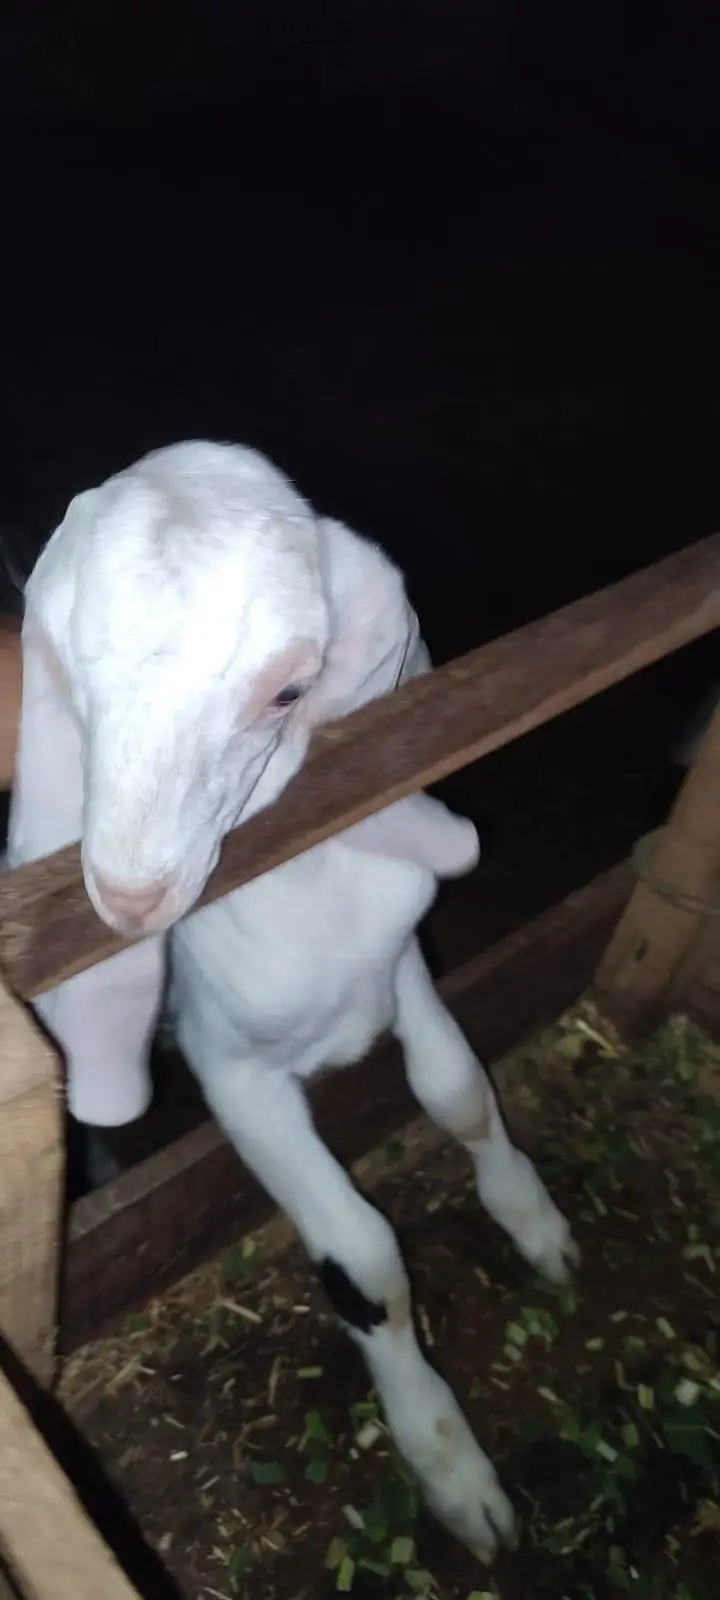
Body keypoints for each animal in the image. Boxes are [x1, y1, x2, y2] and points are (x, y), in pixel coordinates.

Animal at [8, 440, 579, 1560]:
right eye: (71, 683)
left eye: (290, 691)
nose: (129, 897)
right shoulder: (238, 1079)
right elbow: (367, 1261)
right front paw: (452, 1467)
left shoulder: (404, 964)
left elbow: (461, 1093)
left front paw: (536, 1225)